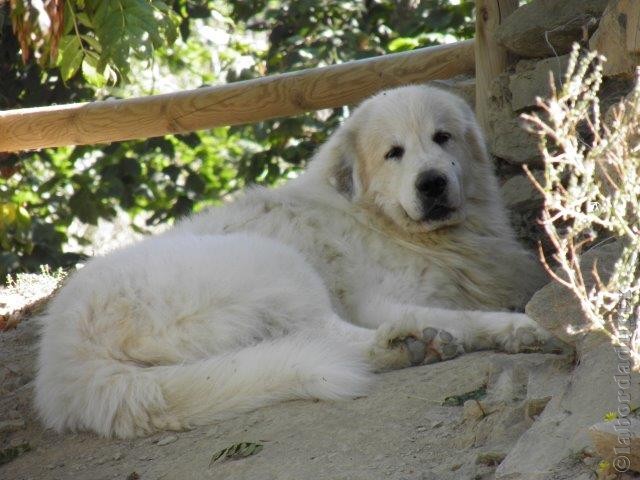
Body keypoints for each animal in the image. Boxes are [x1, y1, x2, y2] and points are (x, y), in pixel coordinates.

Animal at [35, 84, 556, 436]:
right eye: (394, 153)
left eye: (442, 137)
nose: (431, 183)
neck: (376, 218)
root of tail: (69, 365)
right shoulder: (380, 301)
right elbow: (462, 315)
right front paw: (519, 328)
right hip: (274, 262)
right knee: (331, 337)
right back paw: (407, 344)